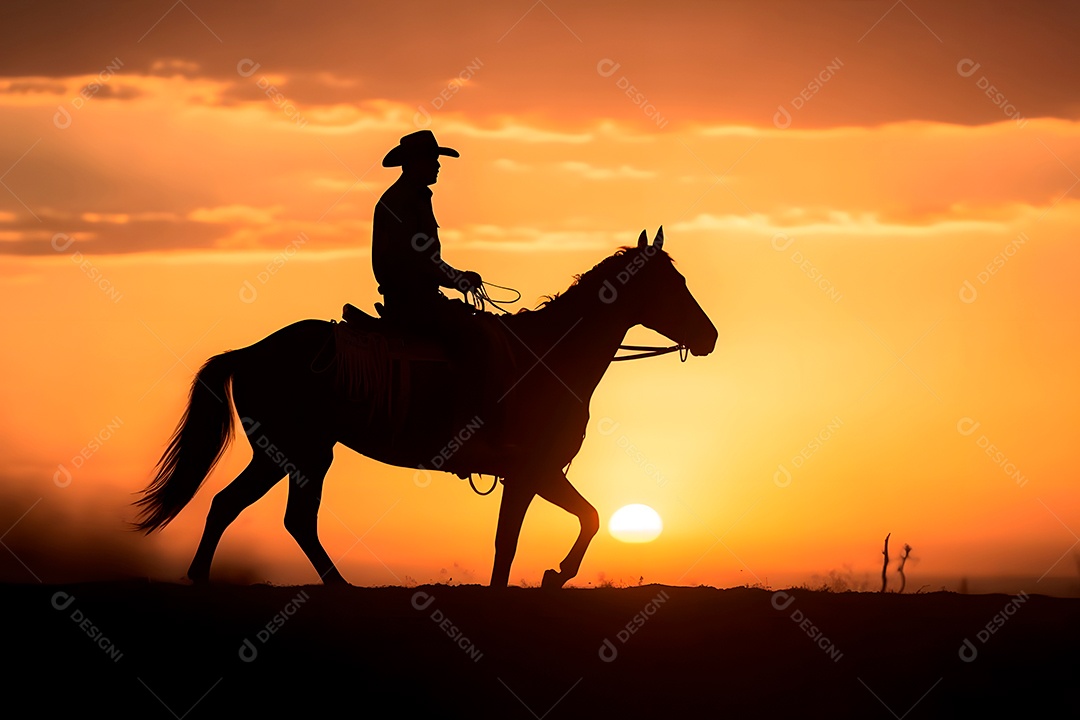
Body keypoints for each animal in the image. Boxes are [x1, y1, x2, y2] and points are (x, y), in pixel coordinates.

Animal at [133, 227, 717, 589]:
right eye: (672, 284)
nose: (709, 336)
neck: (550, 355)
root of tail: (252, 350)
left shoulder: (540, 473)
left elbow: (583, 519)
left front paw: (555, 575)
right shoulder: (531, 472)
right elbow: (519, 539)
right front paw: (541, 579)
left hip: (287, 454)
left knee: (235, 507)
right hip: (301, 453)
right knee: (281, 515)